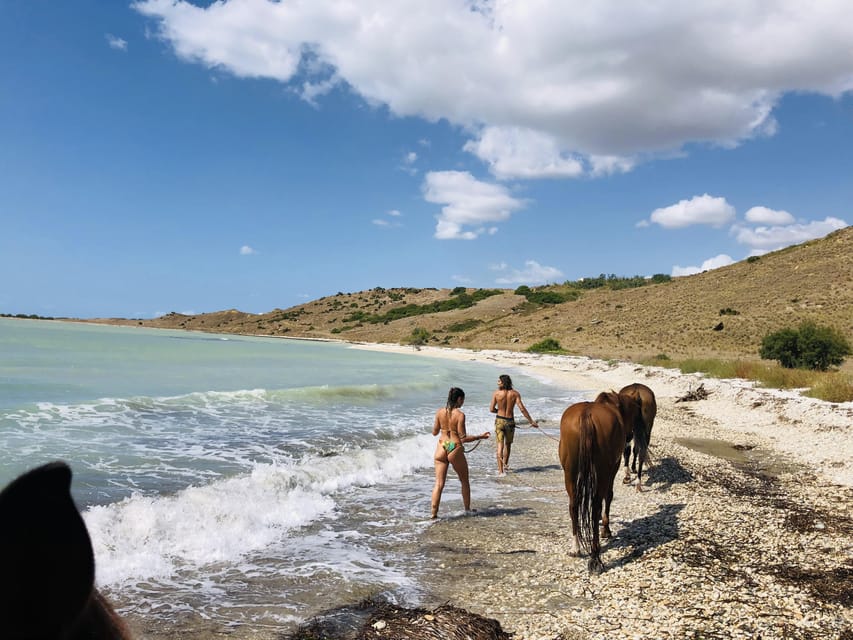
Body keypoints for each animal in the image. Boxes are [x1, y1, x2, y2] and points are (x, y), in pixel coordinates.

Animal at [556, 390, 644, 576]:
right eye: (634, 413)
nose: (629, 436)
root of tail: (586, 415)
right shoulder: (613, 468)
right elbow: (608, 496)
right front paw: (606, 530)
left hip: (570, 473)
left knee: (573, 506)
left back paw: (576, 548)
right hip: (602, 471)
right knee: (596, 505)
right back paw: (595, 557)